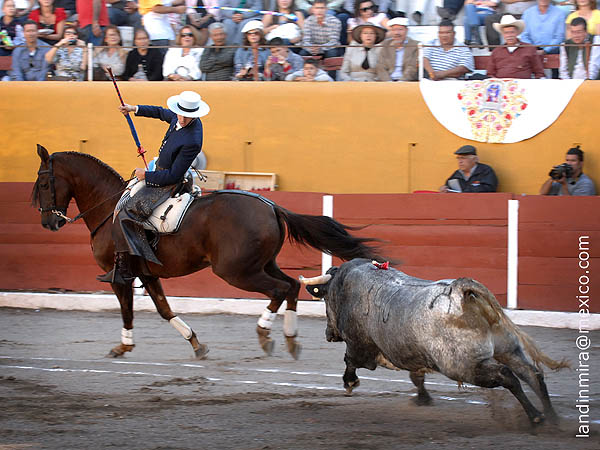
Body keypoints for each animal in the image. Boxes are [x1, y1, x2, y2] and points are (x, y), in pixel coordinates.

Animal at [30, 146, 382, 360]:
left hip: (236, 271)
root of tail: (271, 206)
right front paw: (196, 344)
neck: (108, 207)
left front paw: (123, 346)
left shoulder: (121, 276)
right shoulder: (147, 274)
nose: (49, 222)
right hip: (262, 264)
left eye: (44, 182)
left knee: (280, 288)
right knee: (292, 285)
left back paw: (265, 333)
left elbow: (128, 310)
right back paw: (290, 338)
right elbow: (163, 309)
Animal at [302, 258, 568, 428]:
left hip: (463, 367)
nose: (328, 334)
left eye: (325, 299)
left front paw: (349, 383)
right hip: (508, 348)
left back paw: (536, 417)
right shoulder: (411, 353)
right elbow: (416, 376)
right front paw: (423, 399)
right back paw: (553, 417)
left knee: (507, 376)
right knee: (532, 374)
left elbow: (349, 361)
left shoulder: (361, 349)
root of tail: (461, 290)